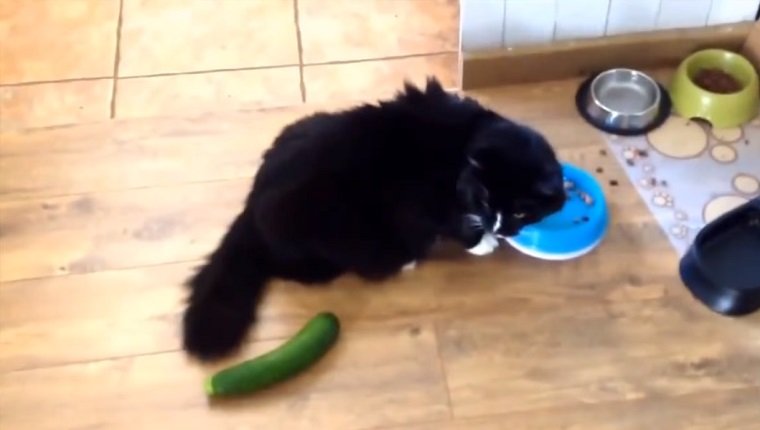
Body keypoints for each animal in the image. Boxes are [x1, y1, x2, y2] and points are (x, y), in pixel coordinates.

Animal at [183, 78, 564, 360]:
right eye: (485, 199)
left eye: (520, 210)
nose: (500, 227)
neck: (466, 140)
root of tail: (250, 204)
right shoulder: (424, 199)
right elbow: (451, 221)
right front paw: (481, 241)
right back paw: (402, 260)